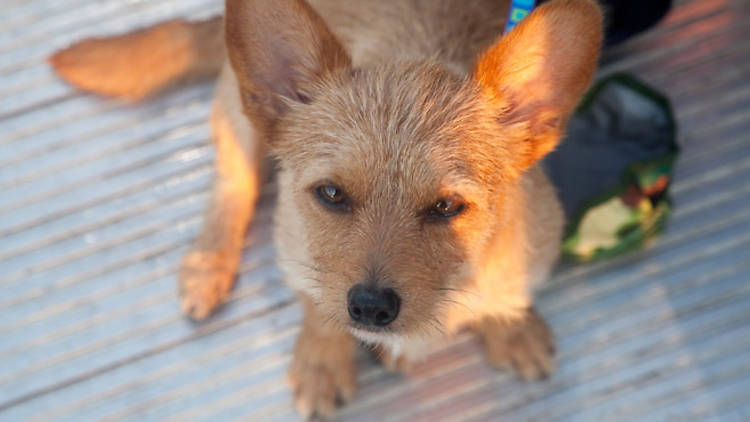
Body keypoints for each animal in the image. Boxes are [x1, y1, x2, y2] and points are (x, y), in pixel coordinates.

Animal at [51, 0, 604, 416]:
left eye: (448, 206)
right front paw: (322, 362)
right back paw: (208, 265)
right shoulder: (297, 255)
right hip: (239, 119)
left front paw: (514, 328)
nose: (371, 308)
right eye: (332, 194)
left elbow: (510, 297)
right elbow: (318, 308)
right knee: (234, 185)